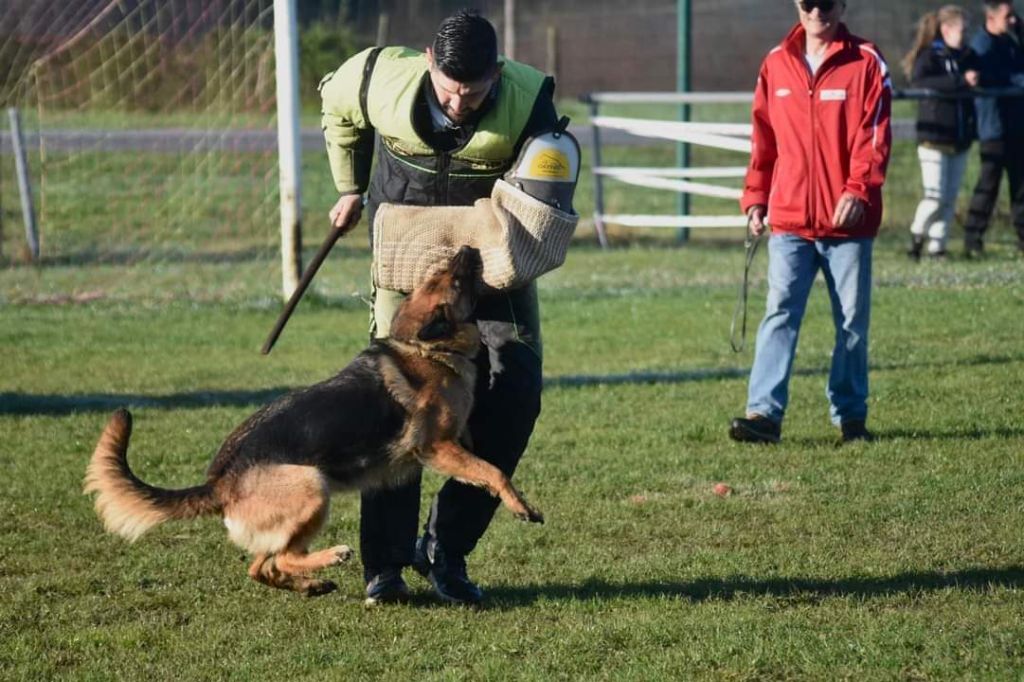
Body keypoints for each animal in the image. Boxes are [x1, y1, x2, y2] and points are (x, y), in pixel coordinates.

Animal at [86, 246, 544, 593]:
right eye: (453, 280)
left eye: (443, 273)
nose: (467, 248)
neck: (426, 348)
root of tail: (220, 480)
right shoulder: (435, 447)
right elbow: (494, 471)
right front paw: (523, 507)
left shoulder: (456, 446)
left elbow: (486, 467)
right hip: (312, 486)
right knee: (282, 556)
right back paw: (332, 557)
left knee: (262, 565)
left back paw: (311, 585)